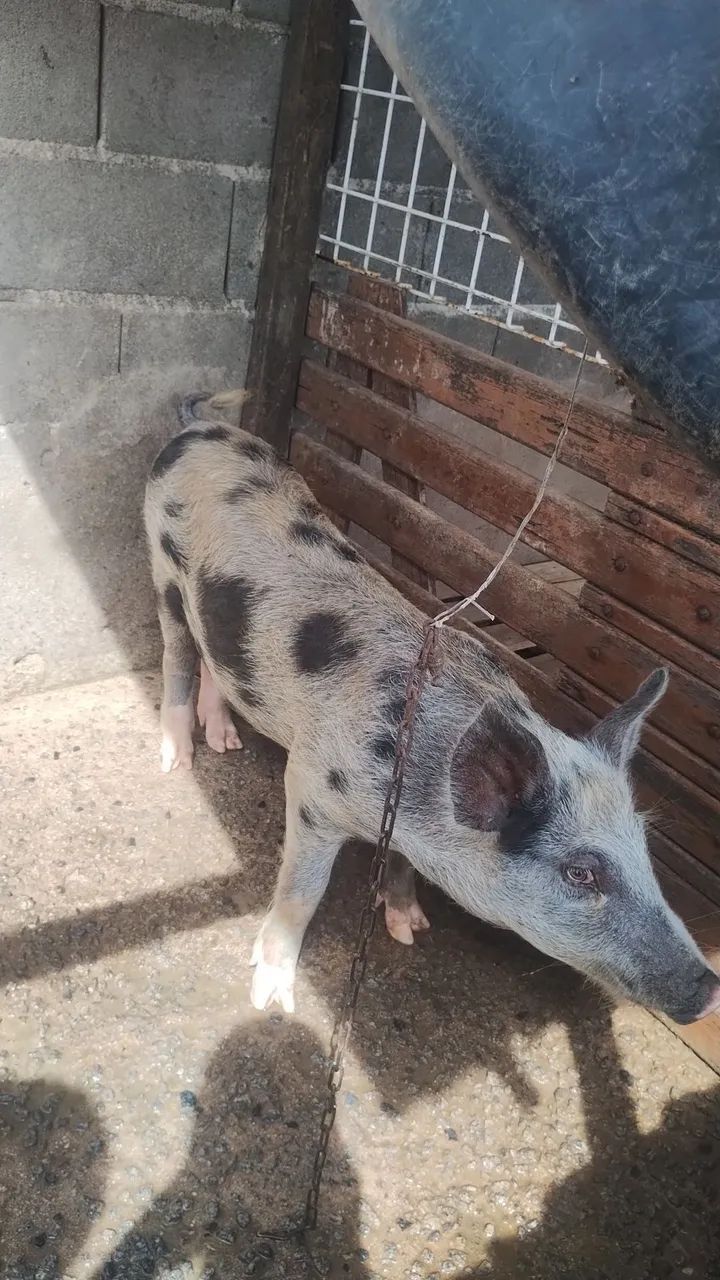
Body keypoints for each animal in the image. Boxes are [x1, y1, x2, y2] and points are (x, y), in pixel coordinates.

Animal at [144, 391, 720, 1025]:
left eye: (643, 846)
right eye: (582, 871)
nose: (712, 990)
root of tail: (198, 429)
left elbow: (401, 866)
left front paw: (409, 930)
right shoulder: (312, 789)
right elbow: (302, 893)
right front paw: (273, 1002)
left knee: (212, 653)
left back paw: (225, 740)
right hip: (162, 563)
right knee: (177, 648)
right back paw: (178, 760)